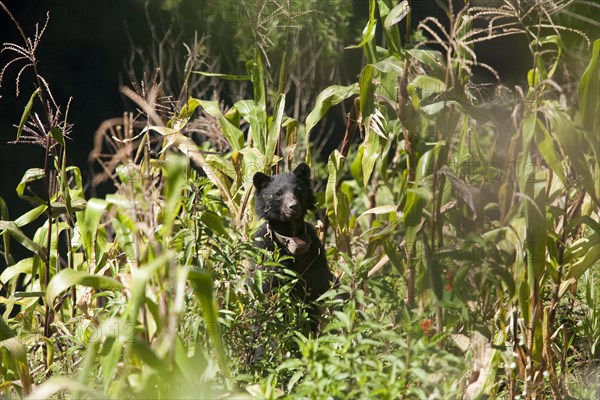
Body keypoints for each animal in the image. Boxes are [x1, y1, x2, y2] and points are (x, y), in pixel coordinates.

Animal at [252, 161, 332, 330]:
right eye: (277, 194)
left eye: (298, 190)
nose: (293, 206)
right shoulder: (266, 249)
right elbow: (268, 286)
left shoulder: (314, 250)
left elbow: (322, 282)